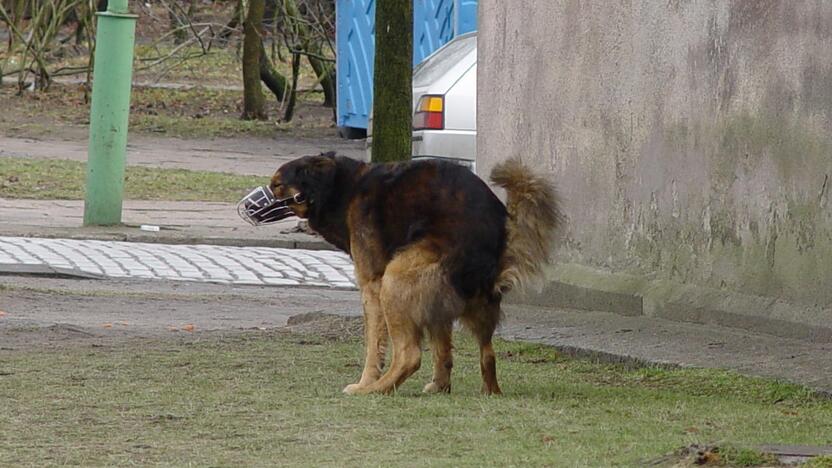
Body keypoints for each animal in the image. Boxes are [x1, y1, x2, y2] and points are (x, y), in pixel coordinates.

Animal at [247, 154, 560, 394]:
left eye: (277, 185)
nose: (248, 207)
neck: (342, 188)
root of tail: (497, 231)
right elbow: (443, 348)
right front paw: (440, 385)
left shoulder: (372, 286)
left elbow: (374, 346)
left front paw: (365, 382)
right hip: (460, 300)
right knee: (486, 353)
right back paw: (476, 389)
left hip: (395, 279)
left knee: (410, 355)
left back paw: (377, 389)